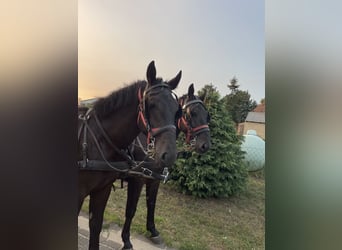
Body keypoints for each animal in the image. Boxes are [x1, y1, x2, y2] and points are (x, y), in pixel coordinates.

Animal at [78, 61, 183, 250]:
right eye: (151, 104)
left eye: (177, 111)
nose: (169, 155)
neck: (95, 139)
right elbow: (132, 209)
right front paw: (127, 240)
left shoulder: (103, 190)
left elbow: (96, 226)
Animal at [120, 84, 211, 250]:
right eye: (192, 113)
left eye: (207, 115)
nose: (205, 145)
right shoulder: (137, 180)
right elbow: (131, 209)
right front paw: (126, 239)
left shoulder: (154, 180)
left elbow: (151, 204)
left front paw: (153, 230)